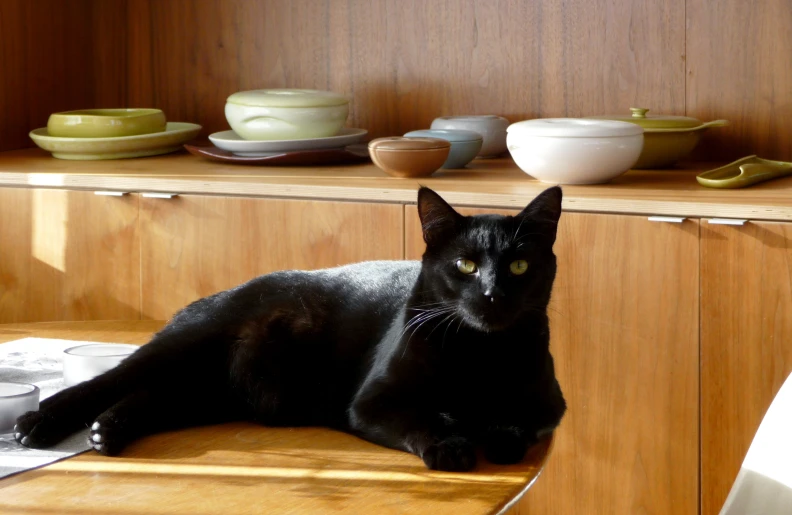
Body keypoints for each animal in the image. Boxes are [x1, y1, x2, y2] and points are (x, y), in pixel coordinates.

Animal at [15, 185, 568, 472]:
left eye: (519, 266)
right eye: (465, 266)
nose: (493, 294)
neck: (478, 353)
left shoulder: (549, 408)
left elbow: (515, 424)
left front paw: (493, 435)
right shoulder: (372, 403)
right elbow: (424, 418)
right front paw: (451, 444)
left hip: (219, 390)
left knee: (156, 395)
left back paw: (107, 430)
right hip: (188, 345)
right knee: (109, 380)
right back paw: (39, 424)